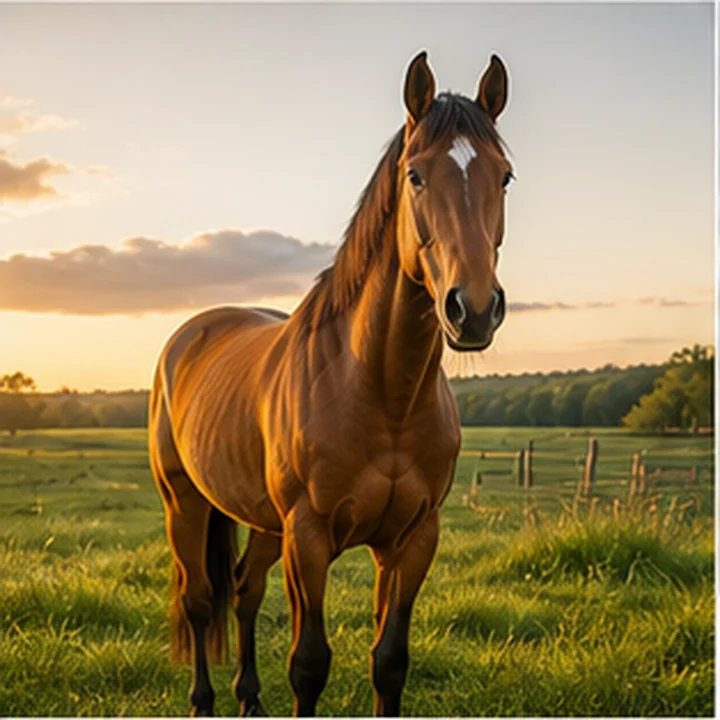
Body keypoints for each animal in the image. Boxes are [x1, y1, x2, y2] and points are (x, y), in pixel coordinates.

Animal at [149, 50, 512, 717]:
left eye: (503, 177)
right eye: (416, 175)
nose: (473, 309)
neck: (382, 394)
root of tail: (193, 333)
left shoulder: (413, 540)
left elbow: (389, 661)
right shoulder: (310, 538)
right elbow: (309, 664)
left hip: (264, 523)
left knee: (243, 591)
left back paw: (249, 699)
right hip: (183, 502)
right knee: (200, 601)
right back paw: (205, 700)